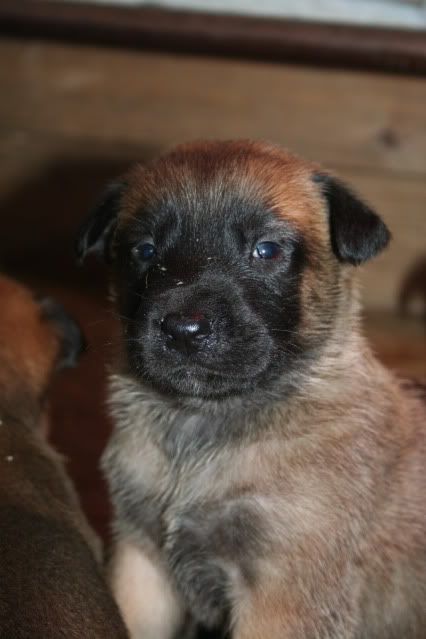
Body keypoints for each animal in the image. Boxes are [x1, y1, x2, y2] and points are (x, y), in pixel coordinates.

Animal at [76, 140, 426, 639]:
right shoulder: (142, 563)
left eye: (266, 249)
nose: (184, 330)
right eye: (145, 249)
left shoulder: (282, 594)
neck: (202, 426)